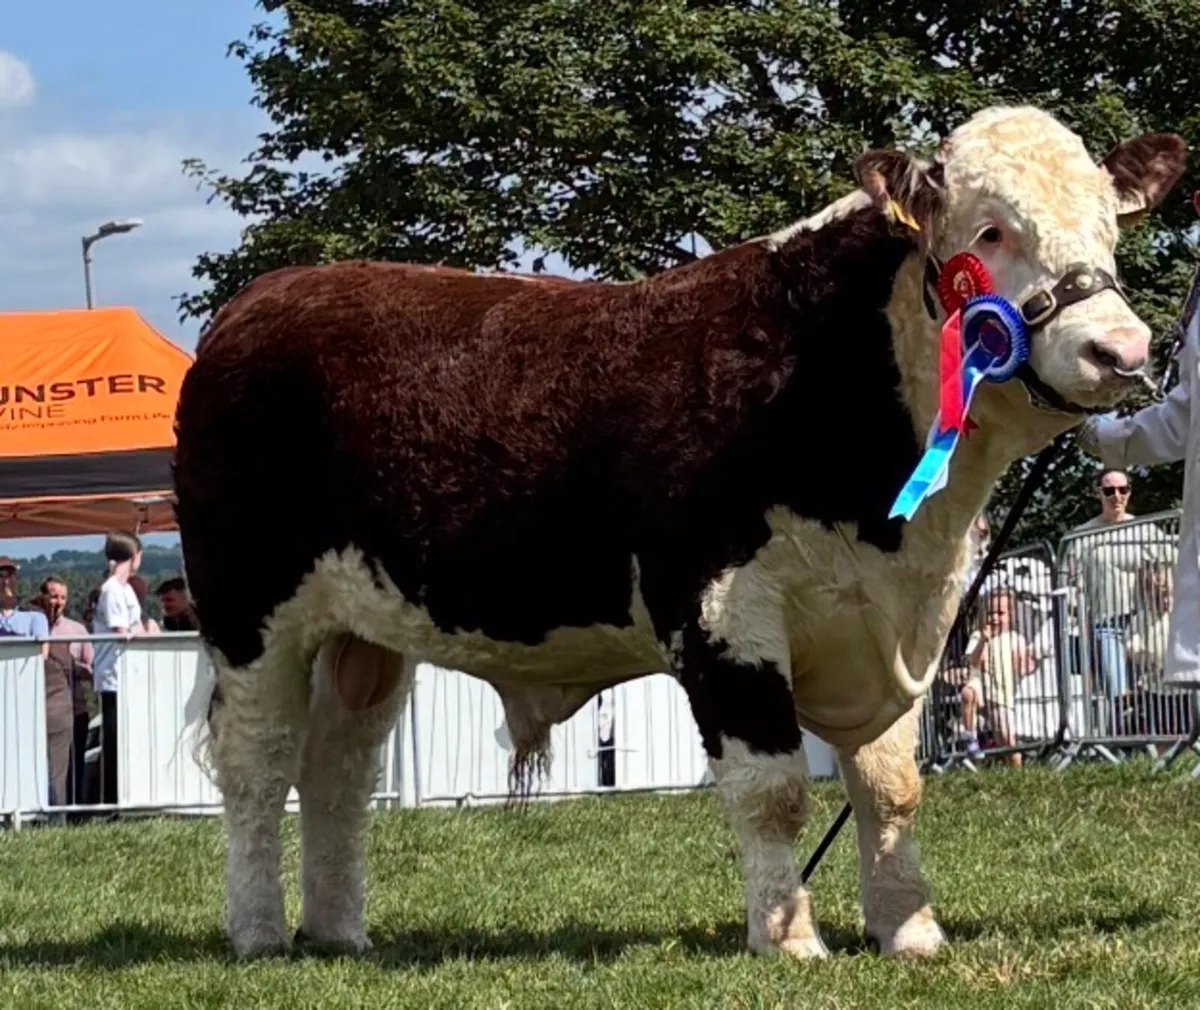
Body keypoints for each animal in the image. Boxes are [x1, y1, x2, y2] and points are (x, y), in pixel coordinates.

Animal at [173, 105, 1188, 962]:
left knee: (339, 770)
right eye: (990, 230)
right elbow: (774, 792)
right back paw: (259, 935)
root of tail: (263, 300)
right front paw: (788, 941)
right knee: (259, 766)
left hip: (364, 633)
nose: (1123, 351)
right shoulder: (725, 615)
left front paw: (912, 934)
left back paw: (340, 933)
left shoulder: (901, 625)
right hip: (249, 613)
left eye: (1110, 227)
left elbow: (891, 786)